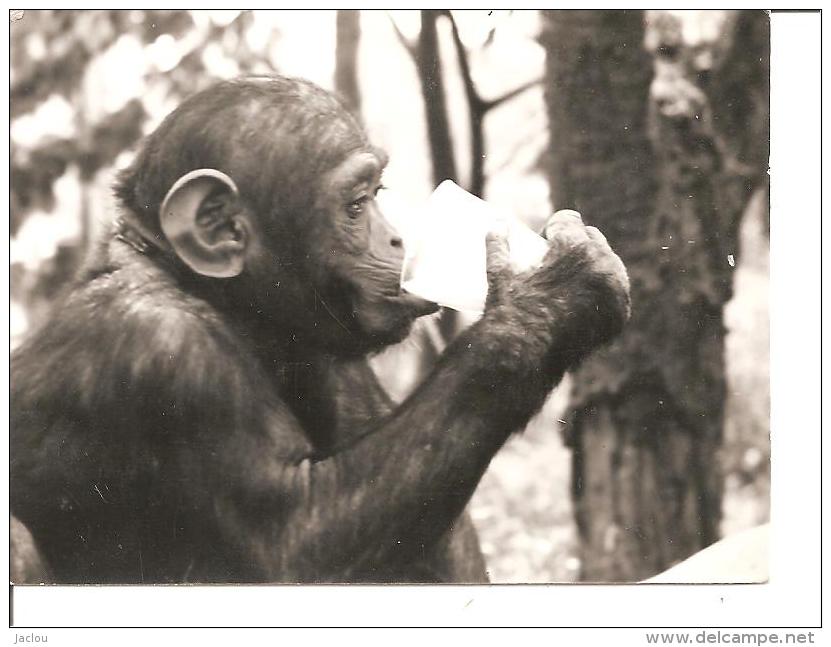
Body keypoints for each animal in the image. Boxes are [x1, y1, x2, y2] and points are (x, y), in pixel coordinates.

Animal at [9, 76, 632, 588]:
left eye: (378, 193)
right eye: (356, 204)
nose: (399, 237)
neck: (210, 294)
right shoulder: (161, 352)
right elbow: (299, 540)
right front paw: (553, 292)